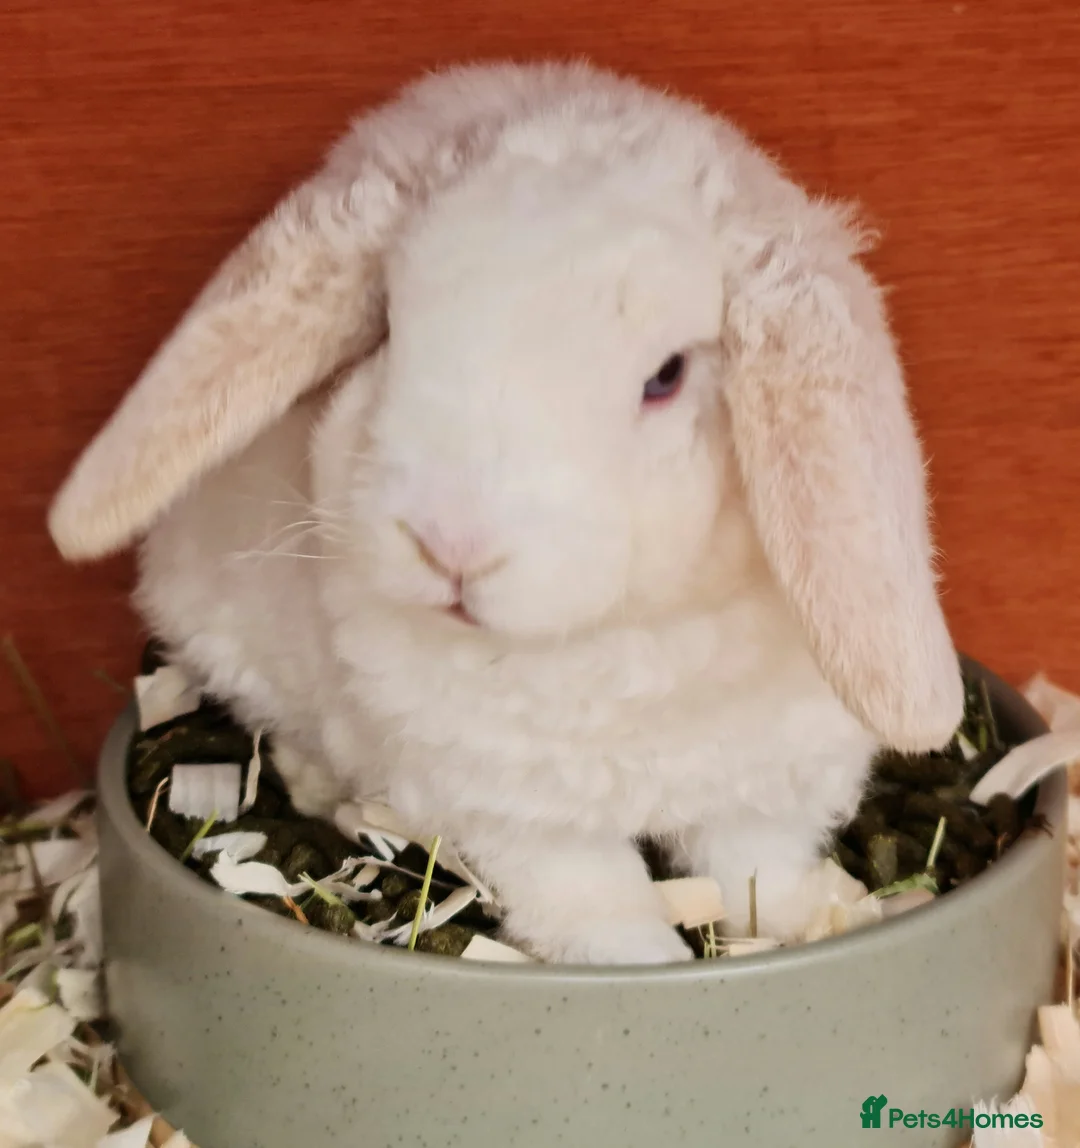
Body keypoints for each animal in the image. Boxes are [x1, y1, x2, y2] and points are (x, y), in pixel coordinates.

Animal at [47, 60, 964, 965]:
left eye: (666, 375)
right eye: (389, 327)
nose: (449, 545)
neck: (614, 646)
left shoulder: (767, 785)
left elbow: (756, 871)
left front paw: (828, 914)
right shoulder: (523, 823)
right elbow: (601, 909)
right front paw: (646, 961)